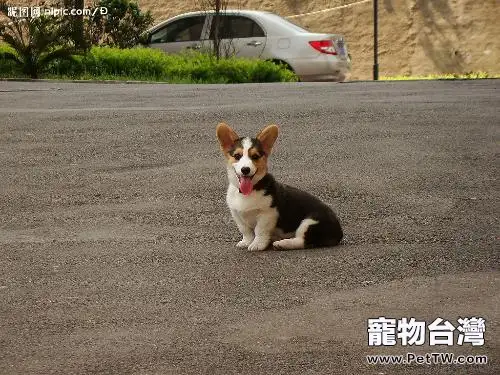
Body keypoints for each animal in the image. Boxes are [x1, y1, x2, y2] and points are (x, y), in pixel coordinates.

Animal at [215, 124, 344, 253]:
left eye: (255, 156)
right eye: (237, 156)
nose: (245, 169)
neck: (250, 190)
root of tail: (339, 232)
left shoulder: (267, 214)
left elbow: (259, 231)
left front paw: (257, 244)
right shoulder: (236, 214)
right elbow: (246, 231)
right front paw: (246, 242)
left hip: (309, 222)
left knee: (302, 241)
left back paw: (282, 243)